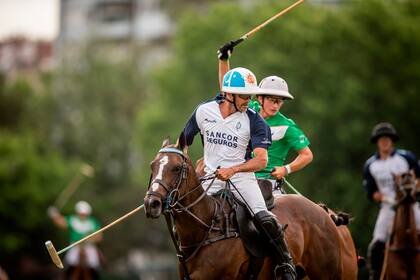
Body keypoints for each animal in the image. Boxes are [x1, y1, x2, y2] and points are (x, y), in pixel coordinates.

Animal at [144, 138, 358, 280]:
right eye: (152, 165)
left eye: (177, 168)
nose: (151, 203)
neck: (207, 227)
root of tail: (324, 212)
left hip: (328, 273)